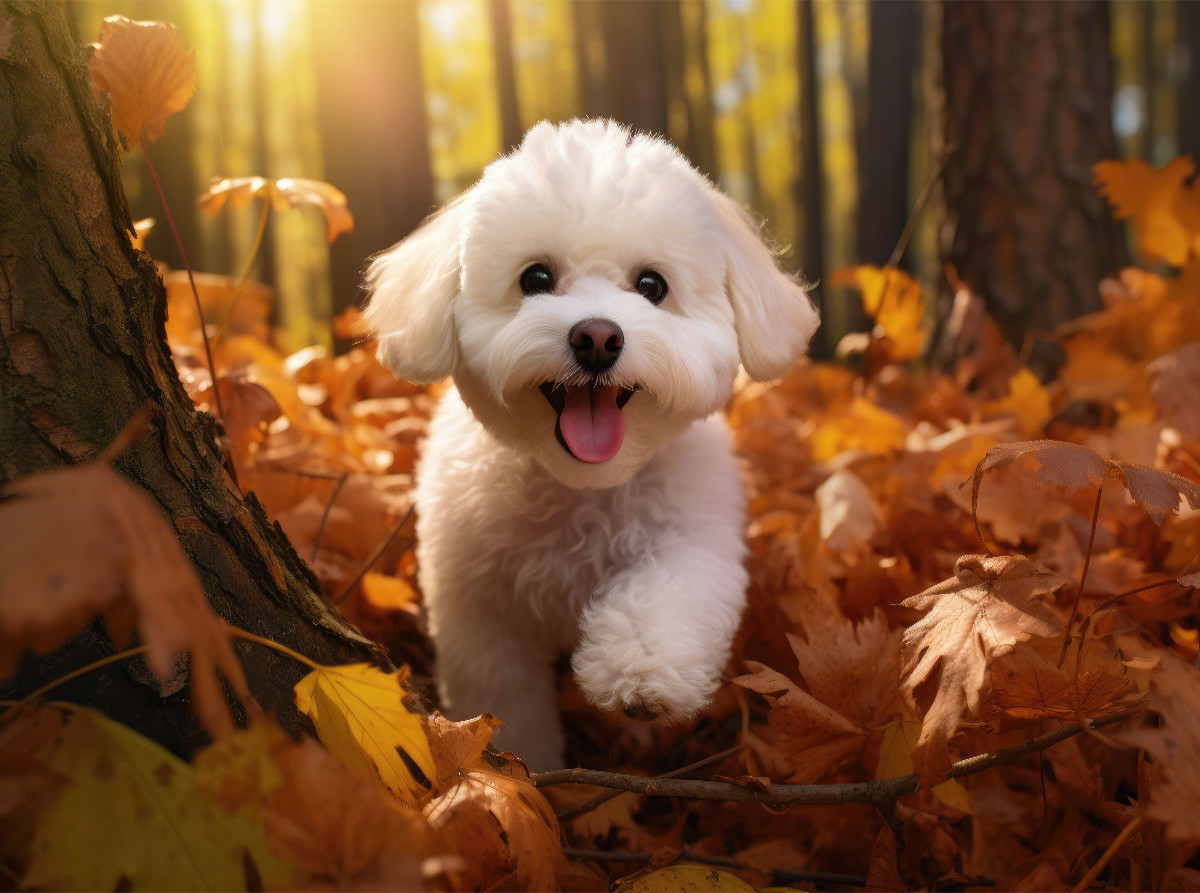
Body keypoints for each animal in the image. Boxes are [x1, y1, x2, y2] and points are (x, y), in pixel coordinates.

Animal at [362, 118, 816, 772]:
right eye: (536, 279)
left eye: (652, 285)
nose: (597, 337)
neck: (582, 485)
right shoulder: (478, 605)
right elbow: (503, 694)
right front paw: (519, 766)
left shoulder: (694, 536)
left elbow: (668, 591)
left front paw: (639, 673)